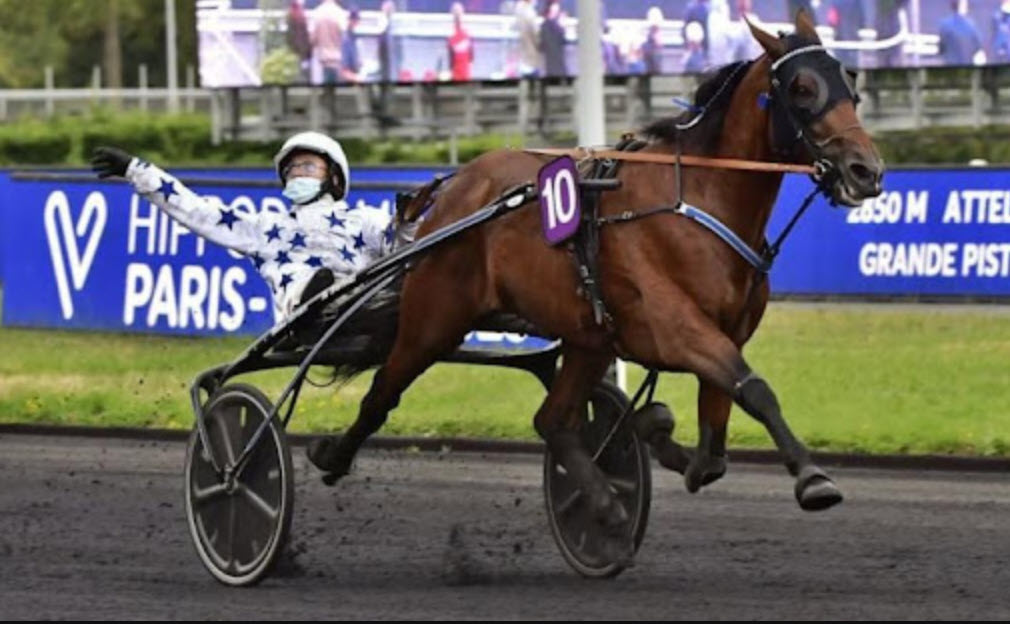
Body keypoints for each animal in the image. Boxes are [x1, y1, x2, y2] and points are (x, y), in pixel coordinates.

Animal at [307, 10, 884, 553]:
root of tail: (453, 188)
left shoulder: (723, 333)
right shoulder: (678, 328)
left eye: (851, 85)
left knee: (552, 420)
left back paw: (604, 502)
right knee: (382, 391)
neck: (696, 200)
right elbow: (756, 390)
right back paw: (330, 454)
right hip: (435, 317)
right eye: (802, 89)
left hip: (587, 338)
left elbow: (716, 444)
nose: (866, 171)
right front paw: (812, 477)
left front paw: (661, 435)